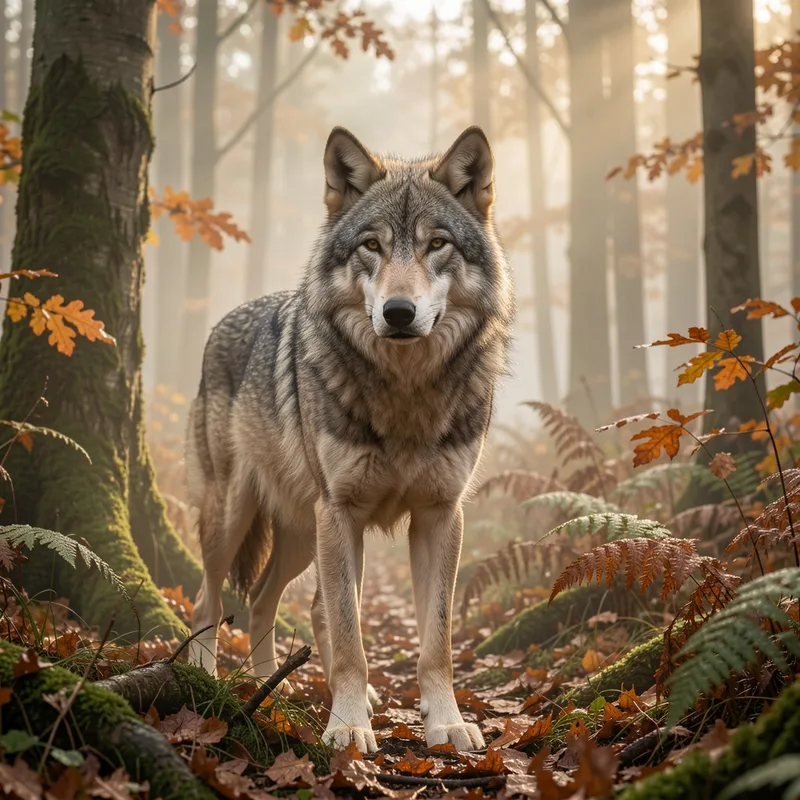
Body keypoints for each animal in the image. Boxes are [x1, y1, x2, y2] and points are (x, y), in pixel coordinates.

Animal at [186, 125, 515, 753]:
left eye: (437, 244)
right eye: (371, 246)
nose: (399, 311)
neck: (405, 392)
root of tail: (220, 323)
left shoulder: (440, 515)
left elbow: (435, 642)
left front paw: (446, 723)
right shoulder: (340, 511)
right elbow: (350, 638)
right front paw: (347, 727)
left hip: (300, 533)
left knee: (269, 600)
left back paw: (275, 694)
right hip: (239, 518)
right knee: (207, 599)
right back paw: (207, 682)